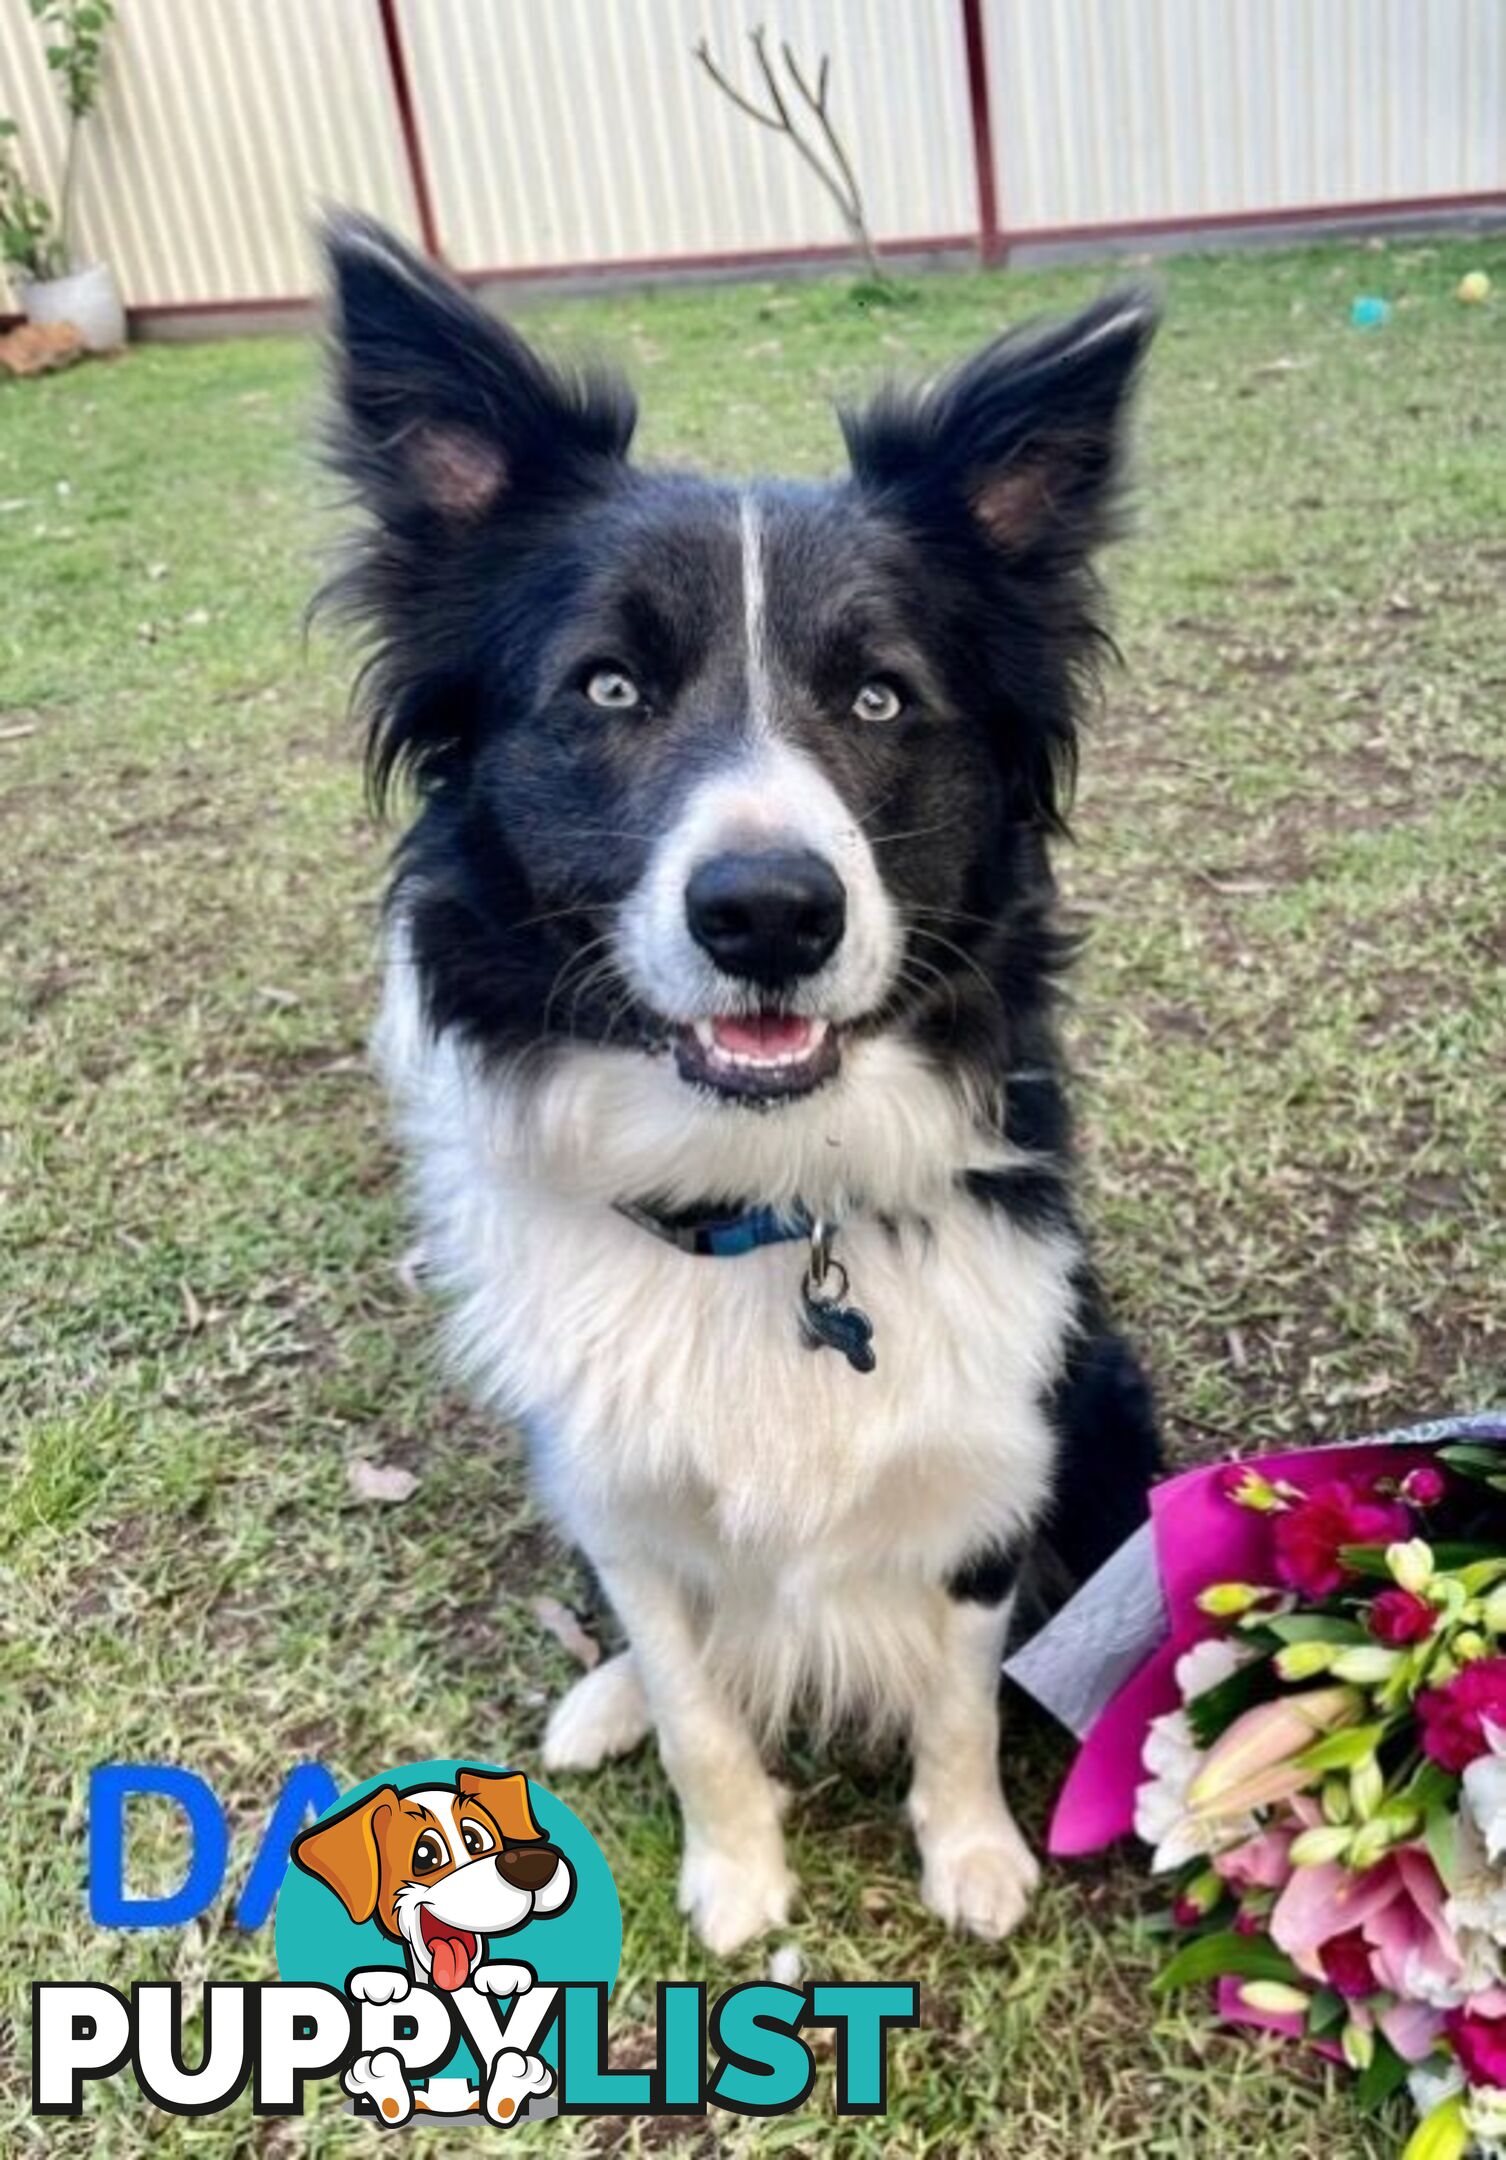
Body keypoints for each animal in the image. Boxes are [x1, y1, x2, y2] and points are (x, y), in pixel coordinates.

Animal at [324, 219, 1158, 1961]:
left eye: (879, 698)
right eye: (608, 690)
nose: (769, 912)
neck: (765, 1207)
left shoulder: (987, 1465)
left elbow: (960, 1701)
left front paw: (972, 1859)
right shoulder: (620, 1497)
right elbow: (705, 1716)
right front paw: (734, 1879)